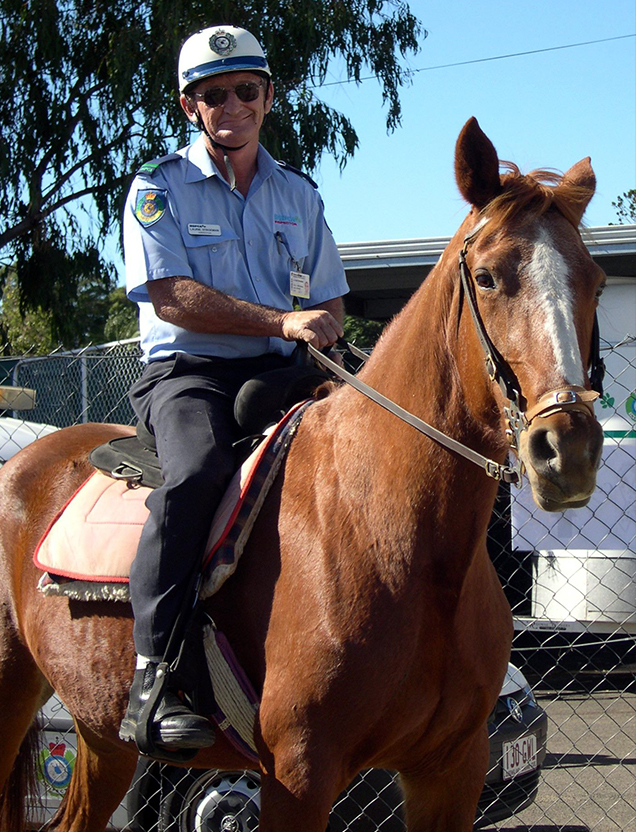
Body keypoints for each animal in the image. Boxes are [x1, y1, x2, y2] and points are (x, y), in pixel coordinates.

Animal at [0, 118, 604, 832]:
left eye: (595, 280)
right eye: (485, 277)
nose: (566, 450)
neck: (398, 538)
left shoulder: (450, 771)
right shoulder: (298, 778)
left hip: (100, 732)